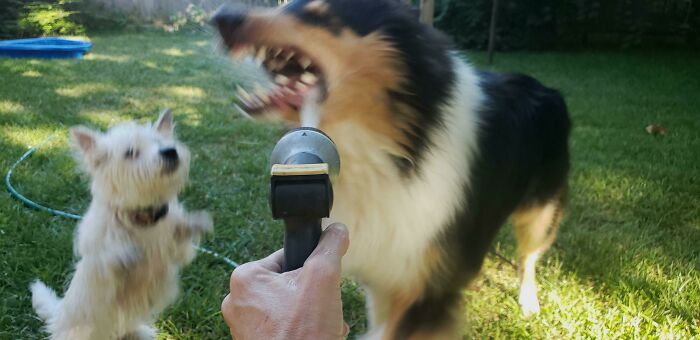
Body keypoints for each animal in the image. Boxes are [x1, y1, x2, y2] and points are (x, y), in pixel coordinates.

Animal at [30, 110, 211, 338]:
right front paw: (126, 254)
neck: (141, 217)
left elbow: (179, 234)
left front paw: (194, 223)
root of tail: (58, 315)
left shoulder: (177, 253)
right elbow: (111, 257)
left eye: (162, 143)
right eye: (131, 152)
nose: (170, 152)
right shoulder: (102, 268)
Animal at [212, 1, 568, 338]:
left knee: (529, 256)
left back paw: (529, 301)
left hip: (540, 211)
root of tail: (548, 88)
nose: (221, 17)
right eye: (286, 5)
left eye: (321, 14)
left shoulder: (428, 290)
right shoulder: (386, 276)